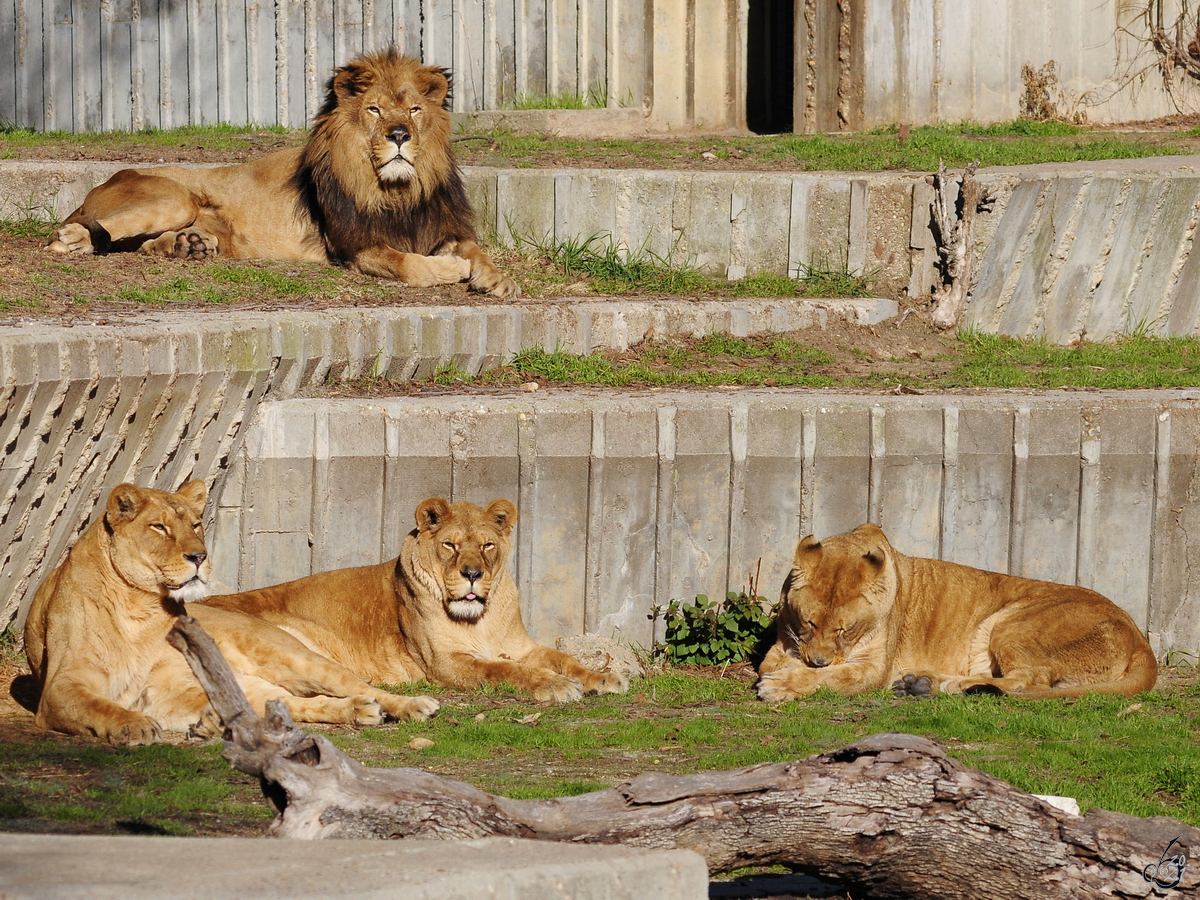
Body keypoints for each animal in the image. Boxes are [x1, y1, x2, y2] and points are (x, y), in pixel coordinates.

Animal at [21, 480, 436, 748]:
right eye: (159, 527)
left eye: (195, 524)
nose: (199, 556)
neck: (138, 605)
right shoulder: (61, 687)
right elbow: (101, 706)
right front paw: (136, 726)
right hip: (253, 687)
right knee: (299, 706)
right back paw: (359, 712)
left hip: (292, 657)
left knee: (361, 686)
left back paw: (413, 706)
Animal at [44, 49, 516, 297]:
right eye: (374, 110)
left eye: (415, 109)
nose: (399, 135)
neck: (396, 190)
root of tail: (101, 183)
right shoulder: (355, 246)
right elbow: (412, 266)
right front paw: (454, 270)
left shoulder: (444, 225)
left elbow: (476, 250)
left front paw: (498, 279)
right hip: (175, 197)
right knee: (78, 231)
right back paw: (74, 240)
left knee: (141, 245)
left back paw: (188, 246)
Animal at [199, 501, 628, 705]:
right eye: (450, 545)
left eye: (487, 545)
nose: (472, 574)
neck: (482, 618)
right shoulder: (444, 663)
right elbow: (502, 671)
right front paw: (555, 686)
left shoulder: (520, 647)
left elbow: (564, 658)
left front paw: (602, 678)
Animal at [753, 520, 1156, 705]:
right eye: (810, 622)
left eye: (844, 630)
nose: (818, 660)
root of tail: (1141, 639)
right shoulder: (784, 642)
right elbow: (772, 662)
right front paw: (788, 670)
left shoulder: (874, 667)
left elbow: (834, 678)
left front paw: (783, 685)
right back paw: (921, 683)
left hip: (1012, 623)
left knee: (1029, 680)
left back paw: (949, 685)